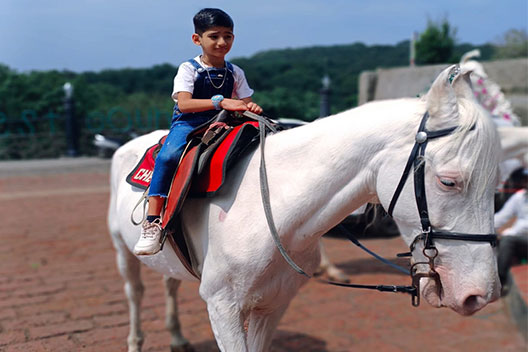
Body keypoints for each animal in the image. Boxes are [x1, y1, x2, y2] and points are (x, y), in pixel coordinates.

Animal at [108, 64, 504, 350]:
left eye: (497, 184)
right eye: (448, 181)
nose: (481, 294)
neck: (271, 210)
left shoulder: (273, 304)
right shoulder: (222, 307)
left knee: (169, 283)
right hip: (122, 250)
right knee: (134, 293)